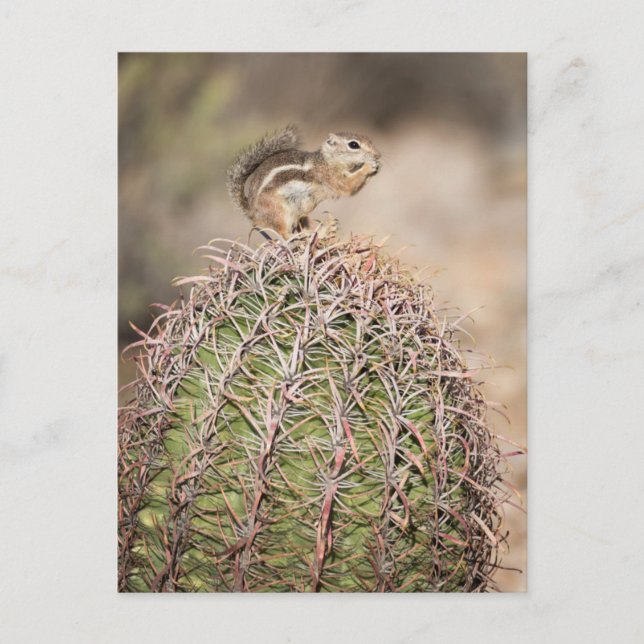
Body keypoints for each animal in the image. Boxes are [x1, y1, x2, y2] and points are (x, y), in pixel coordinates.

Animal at [227, 125, 381, 238]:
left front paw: (377, 166)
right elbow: (347, 187)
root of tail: (252, 213)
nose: (378, 155)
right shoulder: (329, 177)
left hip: (300, 209)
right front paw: (368, 166)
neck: (326, 160)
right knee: (284, 234)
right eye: (353, 145)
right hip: (280, 211)